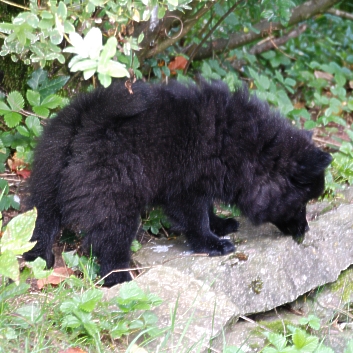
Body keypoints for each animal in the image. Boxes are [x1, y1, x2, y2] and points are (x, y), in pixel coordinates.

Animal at [23, 79, 332, 284]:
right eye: (302, 202)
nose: (305, 230)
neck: (243, 148)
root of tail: (86, 119)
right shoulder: (187, 190)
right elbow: (197, 220)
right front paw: (212, 244)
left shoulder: (201, 185)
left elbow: (208, 210)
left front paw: (221, 224)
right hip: (116, 198)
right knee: (110, 242)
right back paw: (120, 278)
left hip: (47, 181)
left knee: (42, 222)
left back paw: (38, 256)